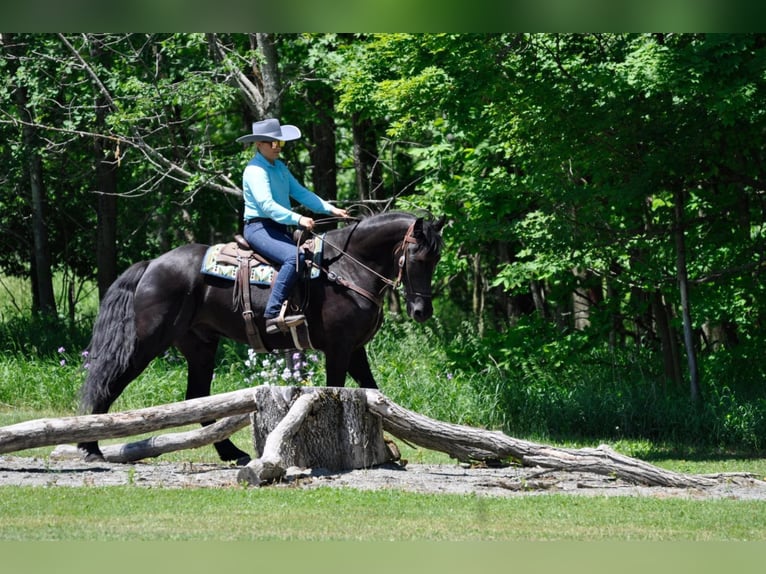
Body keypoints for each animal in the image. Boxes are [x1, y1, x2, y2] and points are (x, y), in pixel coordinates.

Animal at [78, 214, 444, 466]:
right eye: (418, 257)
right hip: (146, 343)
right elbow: (341, 389)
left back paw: (231, 451)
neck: (347, 272)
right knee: (109, 383)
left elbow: (374, 392)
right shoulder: (339, 349)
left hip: (200, 347)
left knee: (198, 398)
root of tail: (152, 264)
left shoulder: (355, 349)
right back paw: (90, 446)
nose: (421, 310)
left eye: (437, 258)